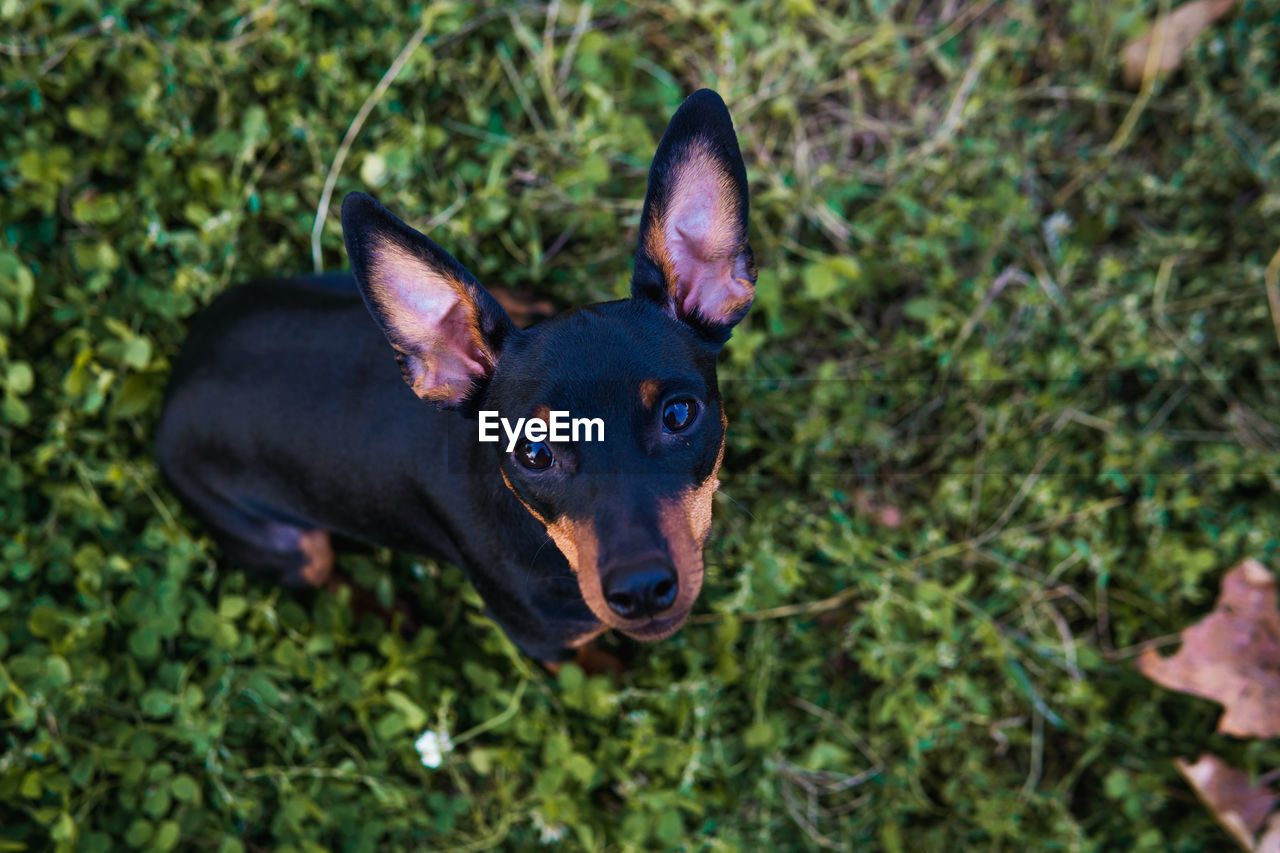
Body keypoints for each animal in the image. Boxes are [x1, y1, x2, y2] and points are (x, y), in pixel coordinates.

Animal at [160, 91, 757, 666]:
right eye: (534, 453)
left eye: (678, 414)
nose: (641, 590)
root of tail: (178, 378)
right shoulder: (548, 644)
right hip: (293, 549)